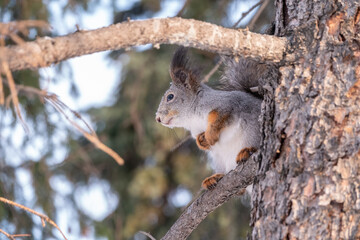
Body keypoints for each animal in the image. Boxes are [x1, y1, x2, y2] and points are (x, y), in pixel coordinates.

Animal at [155, 46, 268, 189]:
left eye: (170, 97)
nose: (157, 118)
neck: (192, 119)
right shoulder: (196, 130)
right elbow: (199, 137)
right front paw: (202, 141)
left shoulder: (226, 104)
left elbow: (219, 118)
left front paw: (210, 135)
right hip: (220, 159)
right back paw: (215, 177)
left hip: (253, 132)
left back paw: (247, 151)